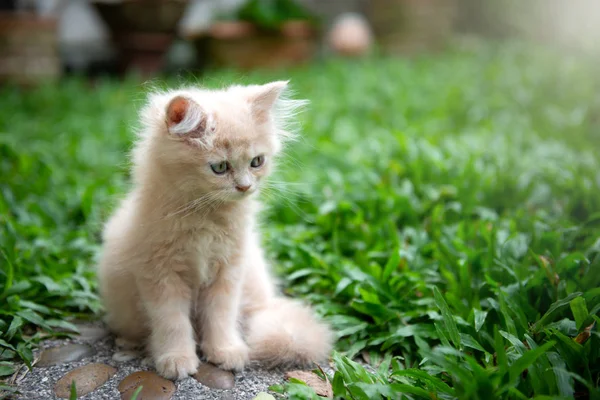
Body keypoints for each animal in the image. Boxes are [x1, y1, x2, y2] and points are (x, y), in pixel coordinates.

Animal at [98, 80, 332, 378]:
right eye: (219, 167)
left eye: (257, 162)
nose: (245, 186)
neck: (205, 218)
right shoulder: (160, 275)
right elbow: (172, 322)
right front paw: (177, 358)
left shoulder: (228, 270)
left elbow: (220, 316)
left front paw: (225, 350)